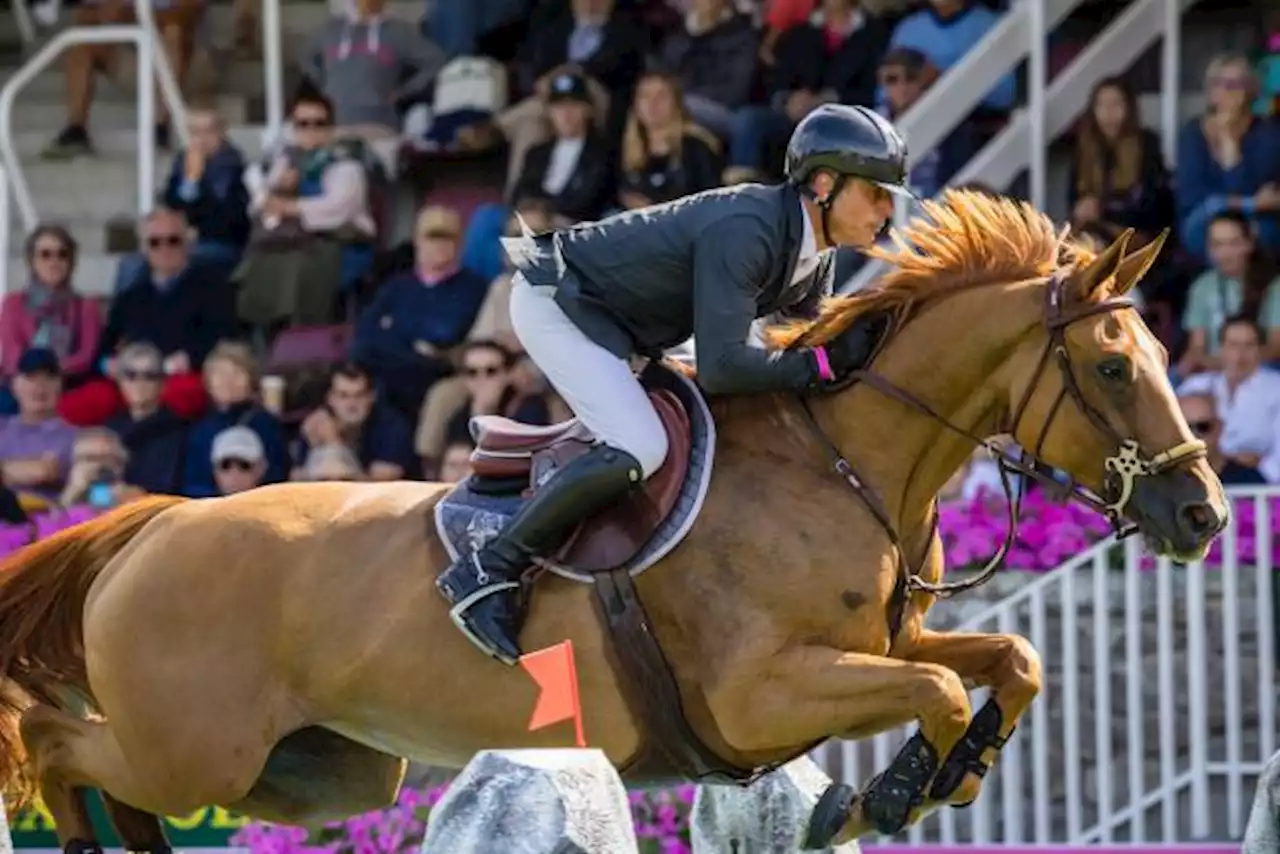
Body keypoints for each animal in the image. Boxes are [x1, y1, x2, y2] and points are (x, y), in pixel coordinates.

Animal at [0, 193, 1228, 850]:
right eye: (1114, 367)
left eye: (1165, 355)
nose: (1204, 513)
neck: (844, 464)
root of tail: (153, 526)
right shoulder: (761, 691)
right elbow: (932, 685)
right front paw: (882, 791)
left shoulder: (881, 641)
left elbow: (1007, 657)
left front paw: (950, 772)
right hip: (197, 747)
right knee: (61, 745)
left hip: (319, 774)